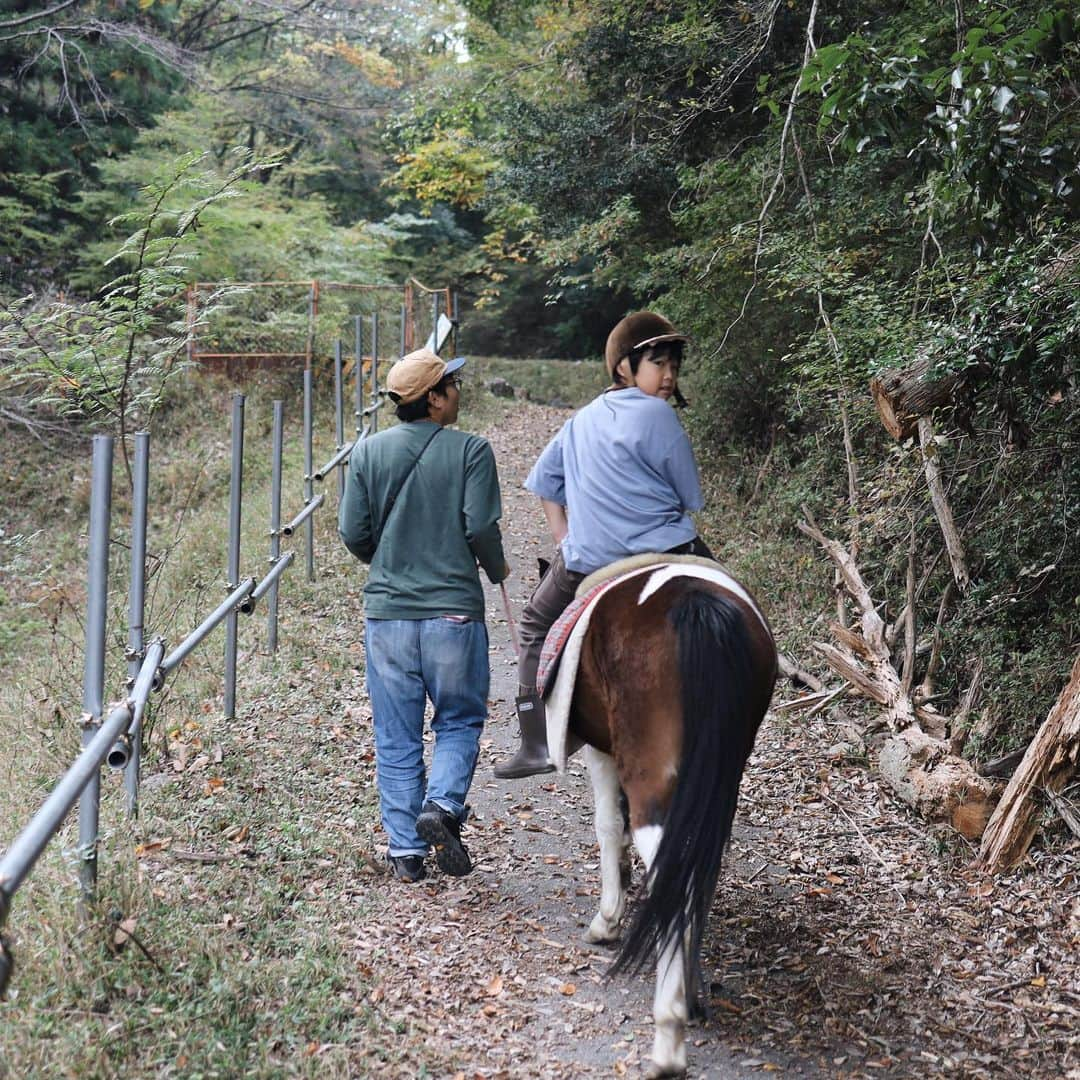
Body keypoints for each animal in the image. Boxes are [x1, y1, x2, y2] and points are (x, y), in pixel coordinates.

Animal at [557, 561, 777, 1075]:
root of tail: (695, 604)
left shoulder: (600, 750)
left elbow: (607, 825)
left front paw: (608, 920)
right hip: (720, 772)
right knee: (697, 868)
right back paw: (689, 997)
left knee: (671, 872)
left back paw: (669, 1034)